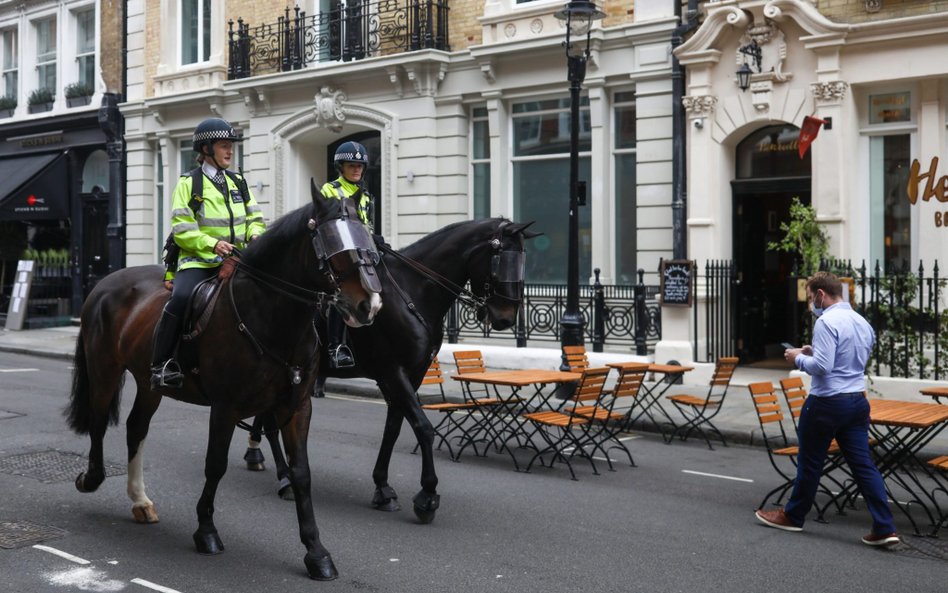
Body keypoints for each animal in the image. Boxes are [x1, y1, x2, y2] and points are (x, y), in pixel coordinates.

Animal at [63, 184, 384, 580]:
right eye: (329, 242)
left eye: (366, 235)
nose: (369, 304)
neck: (270, 314)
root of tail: (105, 282)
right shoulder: (226, 406)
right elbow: (215, 464)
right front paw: (206, 531)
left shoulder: (297, 407)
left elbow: (301, 474)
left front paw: (316, 552)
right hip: (105, 368)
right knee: (97, 421)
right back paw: (91, 479)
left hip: (149, 382)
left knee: (136, 428)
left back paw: (140, 500)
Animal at [248, 217, 536, 520]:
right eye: (500, 258)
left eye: (523, 259)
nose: (505, 318)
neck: (413, 292)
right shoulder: (394, 372)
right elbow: (423, 427)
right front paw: (427, 496)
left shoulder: (412, 374)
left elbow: (393, 429)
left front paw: (383, 488)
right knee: (270, 424)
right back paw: (284, 477)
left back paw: (265, 463)